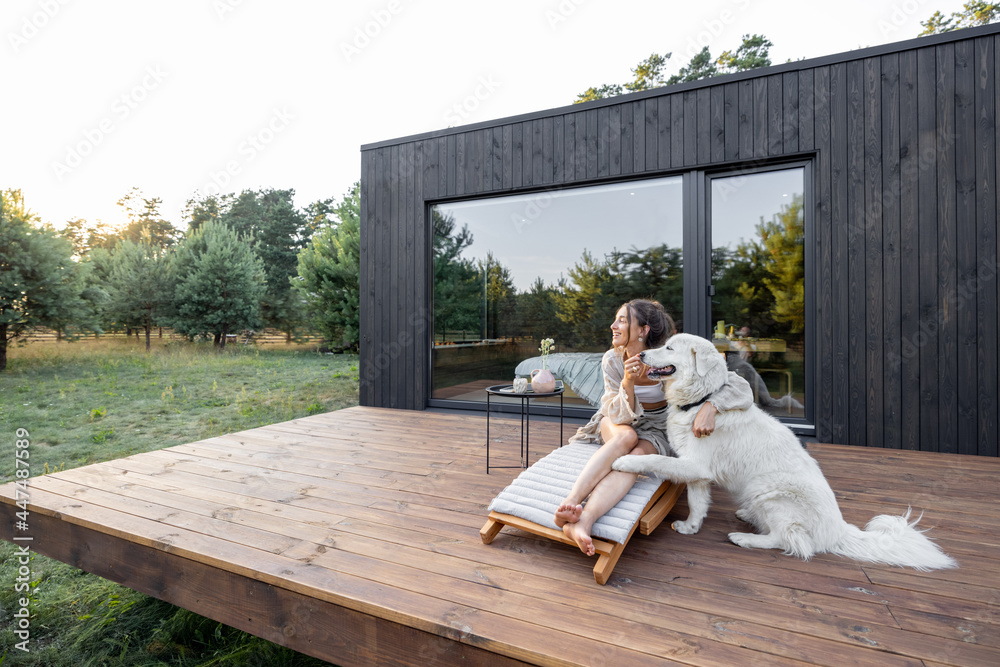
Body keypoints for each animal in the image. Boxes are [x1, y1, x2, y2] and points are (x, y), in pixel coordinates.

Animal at [612, 332, 956, 568]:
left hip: (771, 492)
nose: (642, 353)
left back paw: (744, 537)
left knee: (791, 541)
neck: (700, 401)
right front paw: (691, 527)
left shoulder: (695, 465)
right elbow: (697, 504)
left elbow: (654, 458)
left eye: (669, 348)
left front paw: (625, 462)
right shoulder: (698, 472)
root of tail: (838, 531)